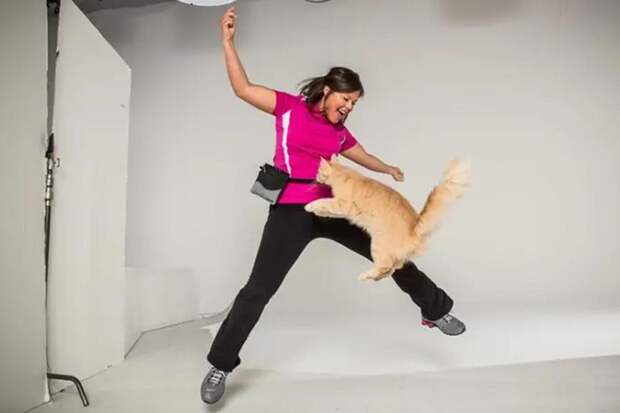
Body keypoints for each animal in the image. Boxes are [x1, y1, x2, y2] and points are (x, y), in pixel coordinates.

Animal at [304, 154, 470, 282]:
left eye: (319, 171)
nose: (315, 177)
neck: (343, 174)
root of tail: (415, 227)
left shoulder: (342, 204)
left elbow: (324, 202)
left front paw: (310, 206)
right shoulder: (344, 211)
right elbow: (328, 210)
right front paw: (318, 212)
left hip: (377, 246)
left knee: (385, 268)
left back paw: (365, 276)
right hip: (394, 256)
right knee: (394, 268)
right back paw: (373, 277)